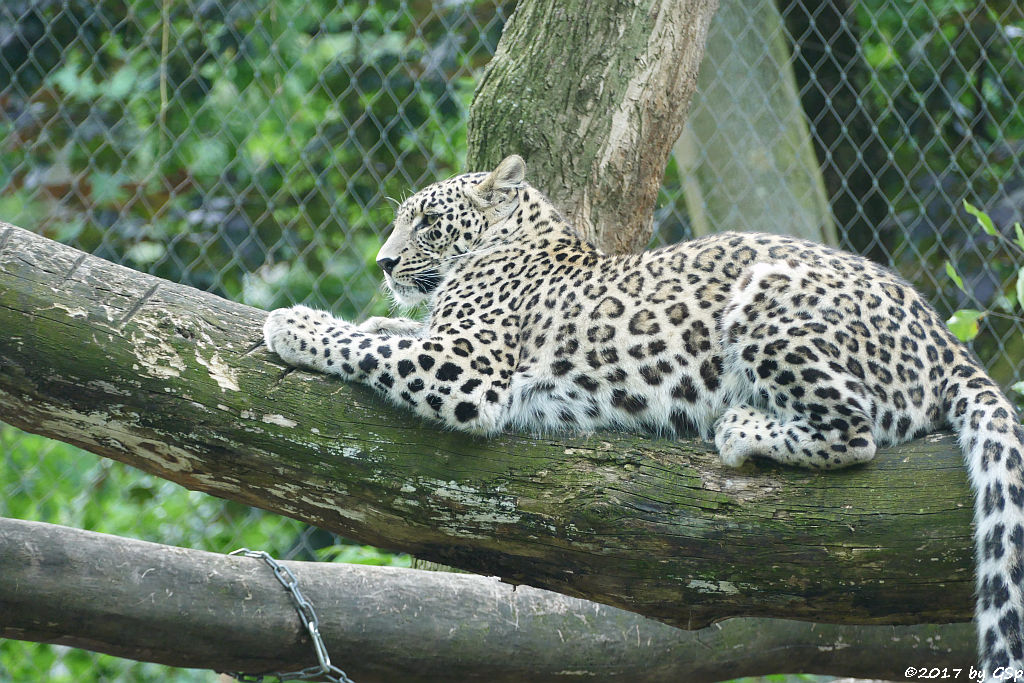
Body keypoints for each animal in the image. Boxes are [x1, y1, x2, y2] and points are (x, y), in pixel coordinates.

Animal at [266, 153, 1024, 671]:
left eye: (427, 222)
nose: (384, 261)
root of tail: (943, 336)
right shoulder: (441, 340)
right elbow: (387, 330)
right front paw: (358, 312)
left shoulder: (468, 366)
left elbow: (369, 344)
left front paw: (294, 323)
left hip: (767, 300)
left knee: (855, 433)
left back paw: (741, 427)